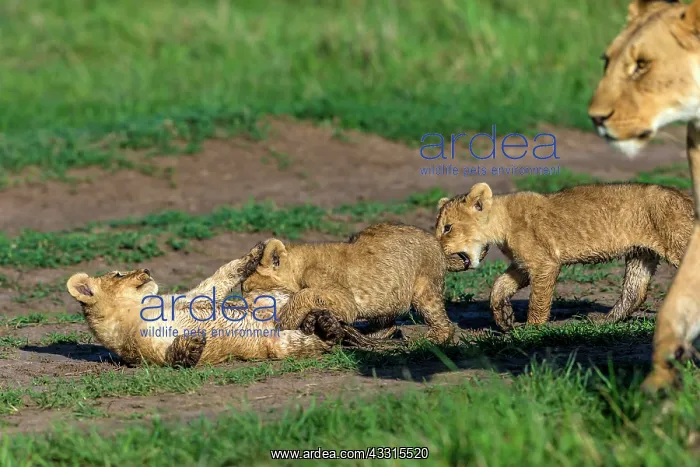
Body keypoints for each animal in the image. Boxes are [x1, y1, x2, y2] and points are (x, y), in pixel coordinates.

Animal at [66, 242, 335, 367]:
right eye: (119, 274)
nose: (147, 270)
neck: (142, 307)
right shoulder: (144, 351)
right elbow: (173, 358)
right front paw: (193, 345)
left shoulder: (187, 298)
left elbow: (217, 279)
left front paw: (254, 254)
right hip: (277, 342)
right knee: (316, 342)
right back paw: (328, 326)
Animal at [239, 222, 458, 345]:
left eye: (249, 289)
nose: (241, 305)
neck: (298, 266)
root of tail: (438, 245)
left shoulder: (343, 298)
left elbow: (305, 294)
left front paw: (285, 321)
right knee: (387, 324)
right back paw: (371, 336)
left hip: (424, 288)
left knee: (444, 323)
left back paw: (432, 340)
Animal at [435, 182, 693, 333]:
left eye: (447, 228)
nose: (437, 248)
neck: (501, 222)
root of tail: (687, 198)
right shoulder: (522, 264)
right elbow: (499, 286)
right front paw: (504, 318)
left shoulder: (544, 263)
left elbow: (538, 300)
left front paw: (531, 330)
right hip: (641, 254)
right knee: (634, 292)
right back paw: (603, 322)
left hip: (678, 244)